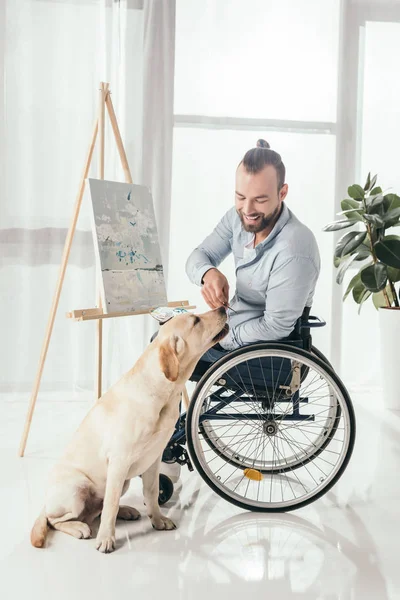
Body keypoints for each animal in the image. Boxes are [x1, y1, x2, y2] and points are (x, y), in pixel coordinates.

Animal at [30, 310, 228, 552]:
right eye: (196, 321)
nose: (223, 308)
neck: (163, 392)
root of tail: (46, 502)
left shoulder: (153, 459)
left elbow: (151, 493)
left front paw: (157, 520)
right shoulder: (119, 461)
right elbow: (111, 505)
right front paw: (106, 538)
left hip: (122, 482)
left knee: (97, 510)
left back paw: (126, 511)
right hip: (78, 488)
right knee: (58, 520)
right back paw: (79, 527)